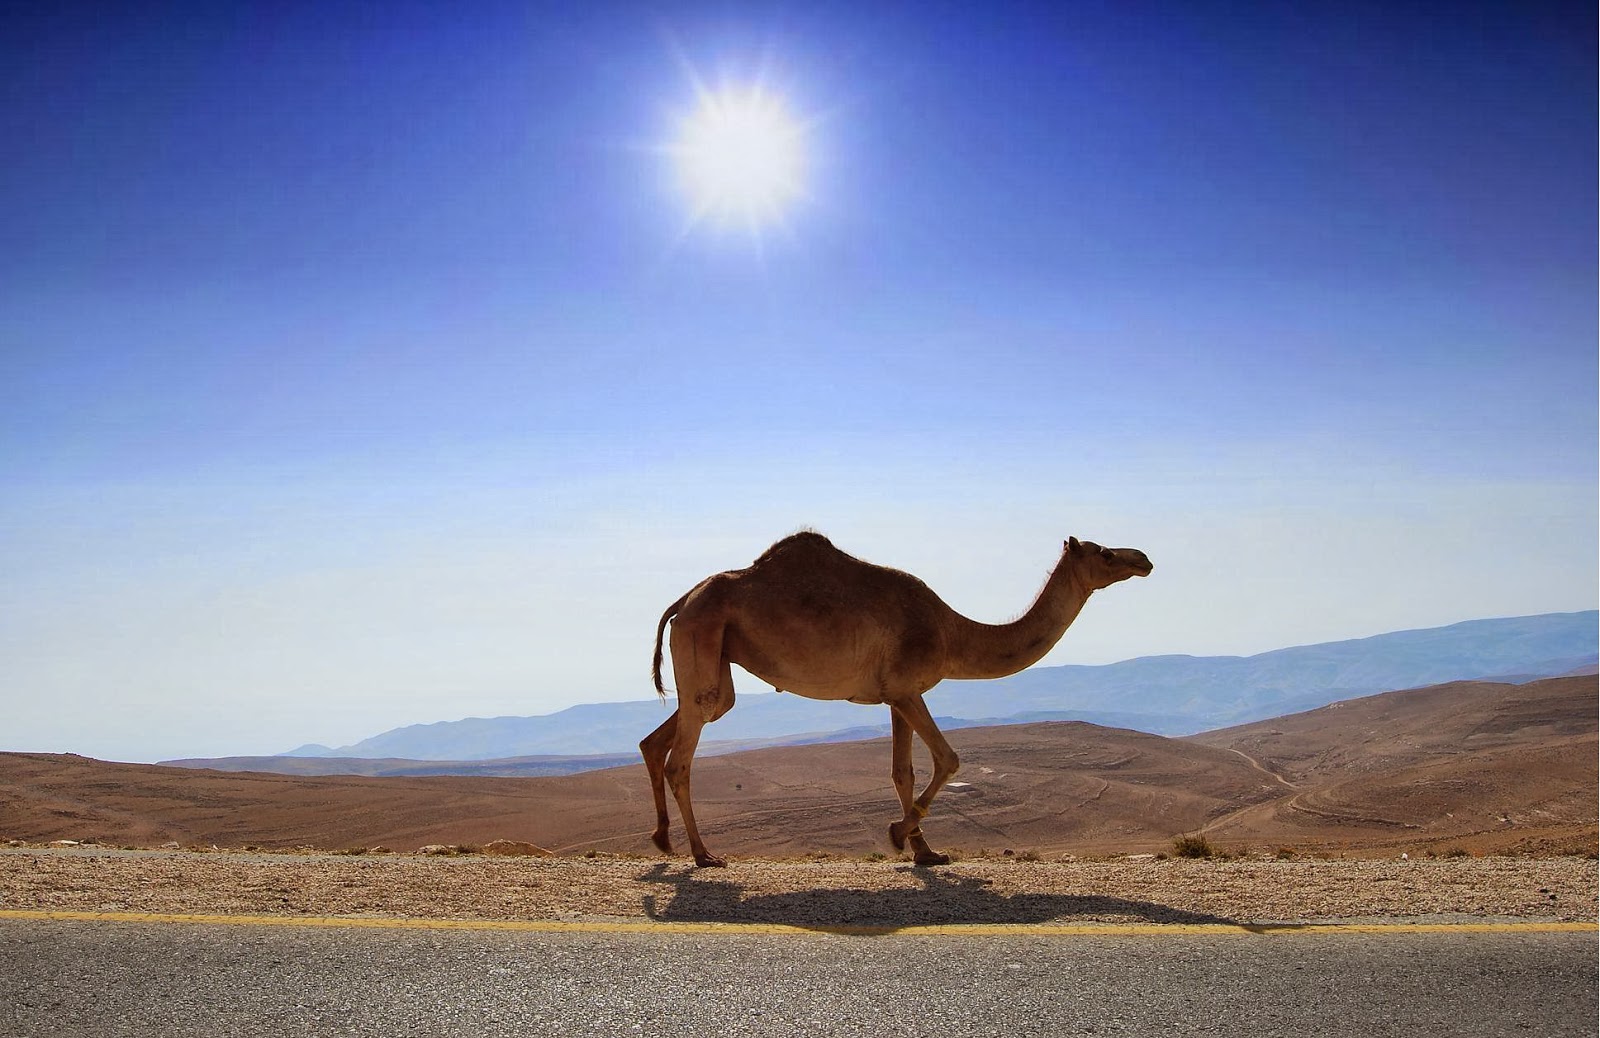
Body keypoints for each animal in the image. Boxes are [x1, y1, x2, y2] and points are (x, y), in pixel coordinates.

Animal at [640, 531, 1153, 868]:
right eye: (1106, 553)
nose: (1144, 558)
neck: (951, 632)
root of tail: (682, 601)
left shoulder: (896, 696)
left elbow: (902, 771)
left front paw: (925, 850)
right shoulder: (907, 688)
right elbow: (948, 758)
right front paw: (897, 834)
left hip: (713, 656)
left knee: (672, 729)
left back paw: (663, 840)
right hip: (704, 633)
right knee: (681, 755)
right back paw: (703, 854)